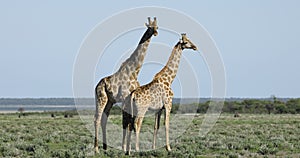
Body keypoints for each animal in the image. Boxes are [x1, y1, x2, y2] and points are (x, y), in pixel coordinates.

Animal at [94, 17, 158, 153]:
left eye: (157, 26)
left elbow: (129, 122)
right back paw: (96, 149)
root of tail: (97, 85)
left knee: (104, 119)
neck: (134, 72)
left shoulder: (129, 99)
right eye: (150, 27)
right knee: (97, 118)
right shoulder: (124, 98)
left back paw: (105, 147)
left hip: (110, 101)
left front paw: (126, 148)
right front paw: (125, 148)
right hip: (101, 98)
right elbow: (126, 122)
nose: (155, 33)